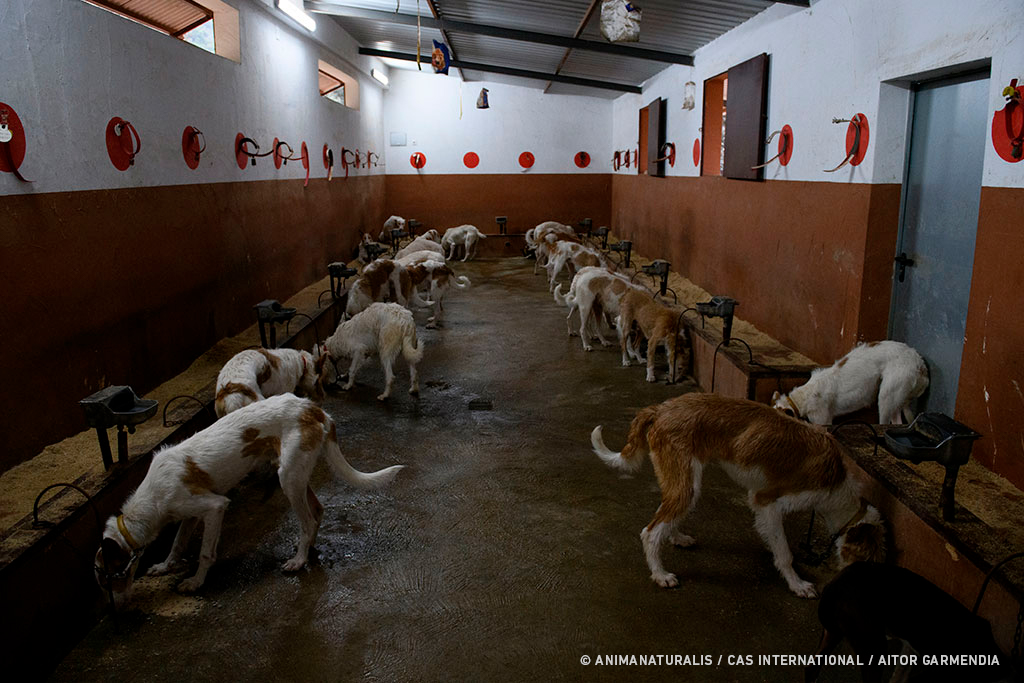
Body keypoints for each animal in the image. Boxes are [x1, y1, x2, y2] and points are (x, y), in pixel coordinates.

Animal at [92, 393, 401, 606]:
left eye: (108, 578)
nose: (116, 609)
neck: (151, 498)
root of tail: (314, 409)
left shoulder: (214, 507)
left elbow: (205, 552)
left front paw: (195, 582)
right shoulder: (190, 515)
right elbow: (177, 544)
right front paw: (164, 567)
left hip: (288, 478)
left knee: (308, 520)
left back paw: (299, 560)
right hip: (295, 475)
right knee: (317, 511)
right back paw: (309, 548)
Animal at [593, 395, 888, 598]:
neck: (837, 485)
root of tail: (660, 409)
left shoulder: (764, 508)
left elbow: (775, 541)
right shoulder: (767, 501)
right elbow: (785, 553)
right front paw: (797, 584)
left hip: (684, 483)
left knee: (666, 515)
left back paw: (676, 536)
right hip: (686, 483)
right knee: (650, 531)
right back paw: (660, 574)